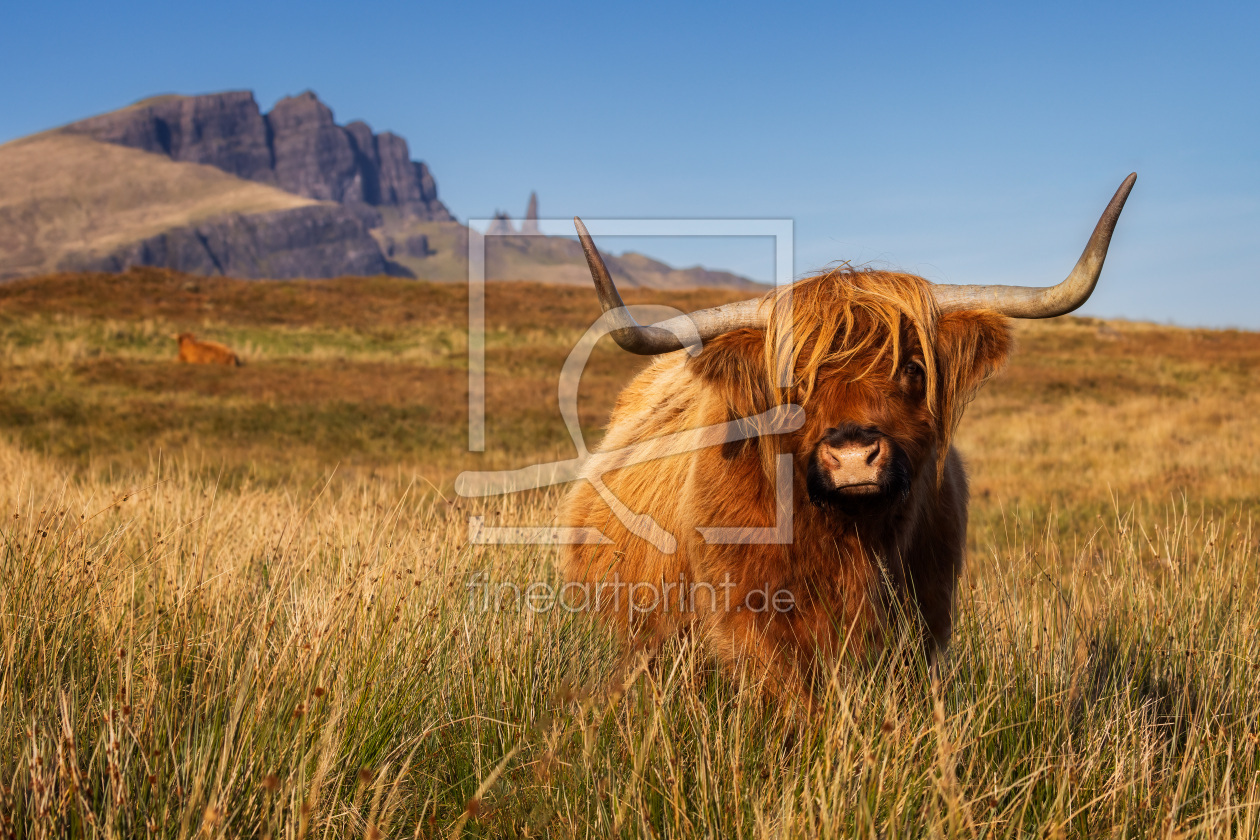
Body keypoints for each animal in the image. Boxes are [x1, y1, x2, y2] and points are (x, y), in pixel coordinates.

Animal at [558, 174, 1136, 702]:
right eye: (792, 383)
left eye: (912, 367)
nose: (854, 455)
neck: (847, 540)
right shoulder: (749, 622)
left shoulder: (926, 619)